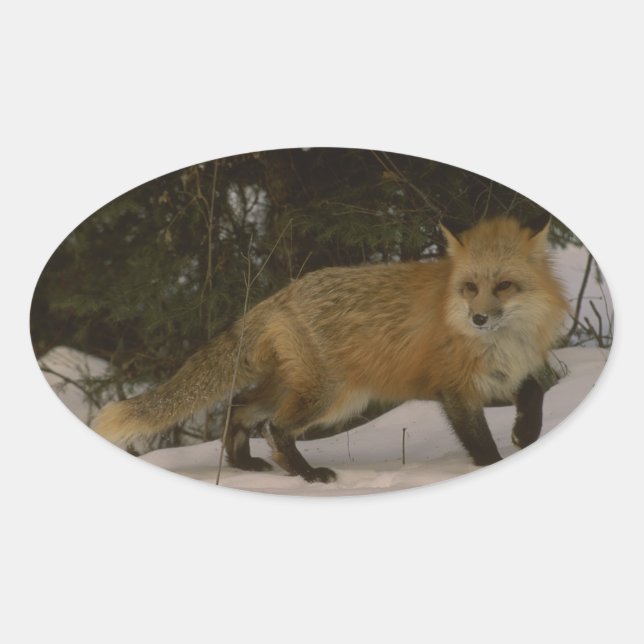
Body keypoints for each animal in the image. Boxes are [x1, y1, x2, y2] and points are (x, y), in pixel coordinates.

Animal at [94, 214, 569, 483]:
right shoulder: (454, 389)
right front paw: (496, 462)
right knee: (275, 427)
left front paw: (526, 433)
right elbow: (481, 444)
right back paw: (306, 475)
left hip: (304, 389)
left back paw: (246, 466)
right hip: (331, 396)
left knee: (240, 408)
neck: (500, 342)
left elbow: (537, 391)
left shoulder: (510, 371)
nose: (478, 319)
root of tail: (282, 293)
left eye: (504, 286)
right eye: (470, 287)